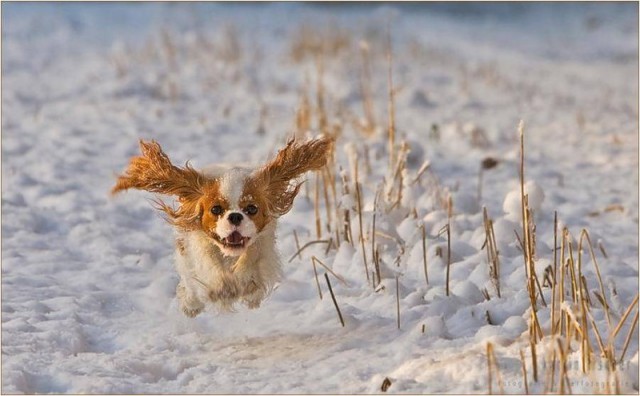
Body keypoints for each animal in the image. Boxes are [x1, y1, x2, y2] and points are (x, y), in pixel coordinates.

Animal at [112, 138, 332, 318]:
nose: (235, 216)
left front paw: (245, 284)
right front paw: (220, 289)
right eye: (216, 209)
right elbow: (209, 272)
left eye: (252, 209)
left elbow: (252, 266)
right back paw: (191, 305)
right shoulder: (197, 251)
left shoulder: (262, 248)